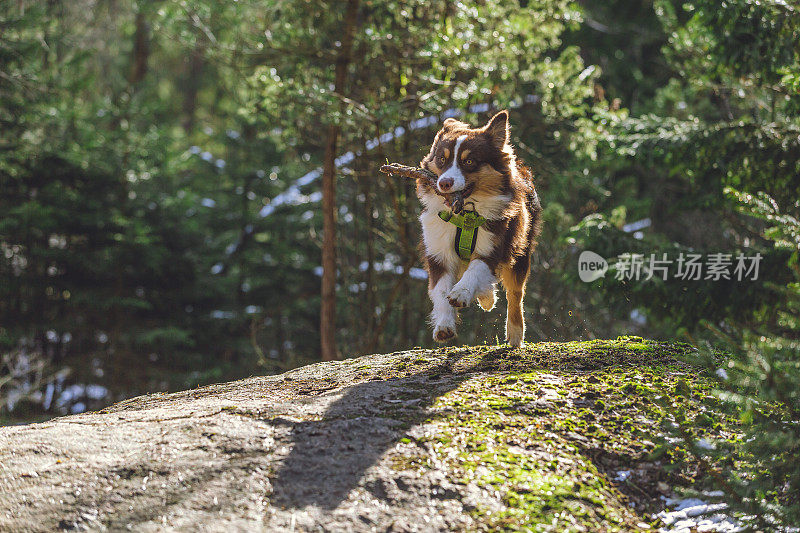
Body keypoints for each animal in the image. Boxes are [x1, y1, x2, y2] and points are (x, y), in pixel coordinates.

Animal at [416, 110, 540, 348]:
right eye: (442, 159)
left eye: (469, 161)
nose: (444, 183)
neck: (464, 215)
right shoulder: (438, 252)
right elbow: (441, 289)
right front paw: (444, 326)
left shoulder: (493, 245)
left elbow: (475, 271)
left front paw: (461, 293)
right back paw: (487, 298)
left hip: (521, 250)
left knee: (515, 294)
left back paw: (515, 335)